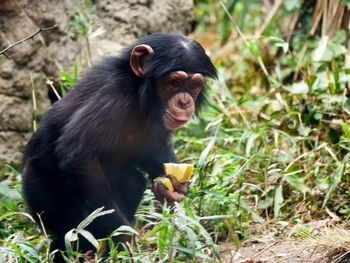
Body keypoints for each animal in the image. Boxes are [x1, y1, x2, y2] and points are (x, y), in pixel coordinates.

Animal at [21, 32, 216, 260]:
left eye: (194, 86)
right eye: (175, 83)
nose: (184, 102)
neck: (140, 93)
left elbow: (153, 148)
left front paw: (173, 189)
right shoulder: (112, 99)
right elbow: (78, 155)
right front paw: (123, 237)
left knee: (132, 182)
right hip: (40, 188)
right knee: (65, 229)